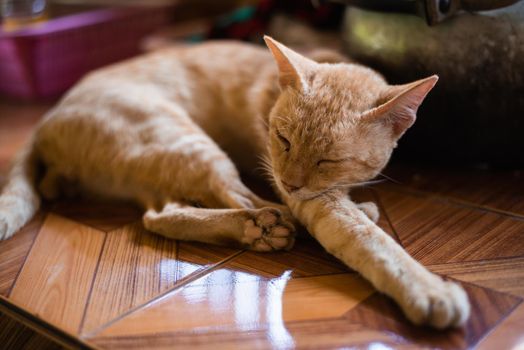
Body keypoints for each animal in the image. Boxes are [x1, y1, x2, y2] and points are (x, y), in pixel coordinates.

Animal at [0, 37, 468, 330]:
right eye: (282, 140)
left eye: (328, 160)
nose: (290, 182)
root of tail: (44, 121)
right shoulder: (309, 199)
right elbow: (371, 243)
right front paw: (429, 292)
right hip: (184, 139)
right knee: (242, 203)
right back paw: (264, 227)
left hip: (159, 162)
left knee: (161, 214)